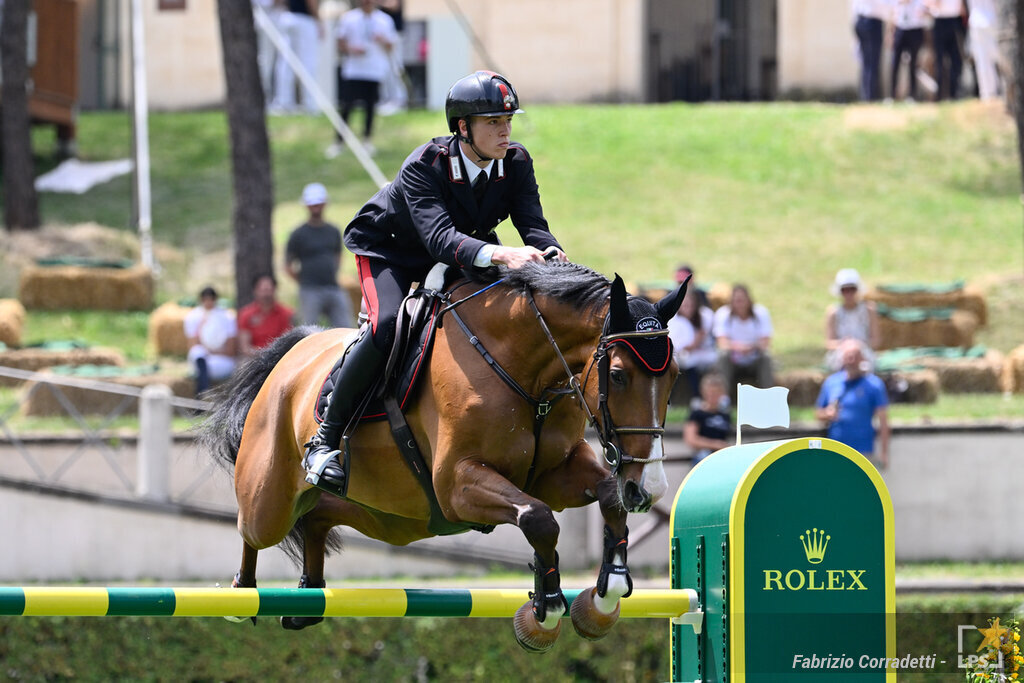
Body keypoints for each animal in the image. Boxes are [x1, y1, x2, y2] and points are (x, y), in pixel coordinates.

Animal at [201, 262, 688, 651]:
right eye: (619, 376)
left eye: (675, 378)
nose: (649, 489)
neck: (526, 369)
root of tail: (296, 351)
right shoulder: (457, 484)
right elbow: (538, 519)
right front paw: (547, 605)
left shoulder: (553, 473)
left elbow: (606, 496)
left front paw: (608, 592)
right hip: (271, 500)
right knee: (252, 529)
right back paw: (242, 595)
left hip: (391, 518)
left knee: (319, 515)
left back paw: (307, 599)